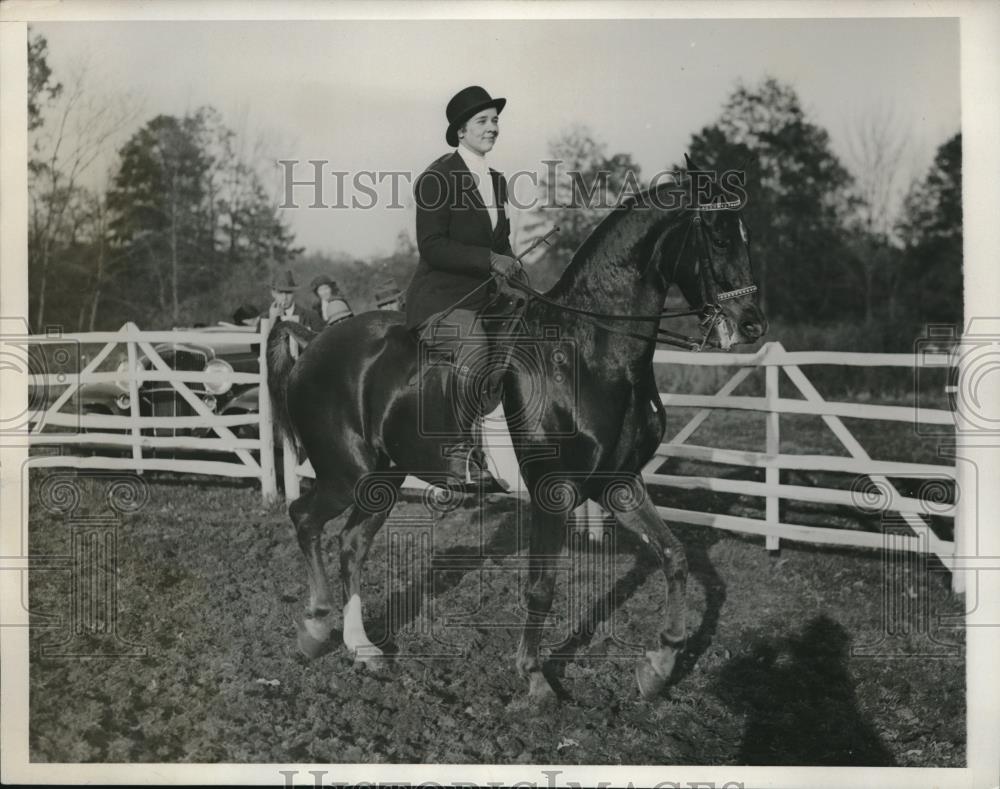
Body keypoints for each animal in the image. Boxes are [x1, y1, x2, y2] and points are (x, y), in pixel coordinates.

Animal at [266, 172, 764, 700]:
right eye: (718, 237)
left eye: (745, 235)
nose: (752, 323)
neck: (591, 349)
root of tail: (312, 342)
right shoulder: (552, 491)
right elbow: (542, 586)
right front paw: (535, 676)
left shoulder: (620, 482)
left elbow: (674, 555)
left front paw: (659, 665)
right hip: (347, 474)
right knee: (305, 518)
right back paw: (316, 628)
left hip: (384, 479)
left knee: (351, 544)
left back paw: (362, 648)